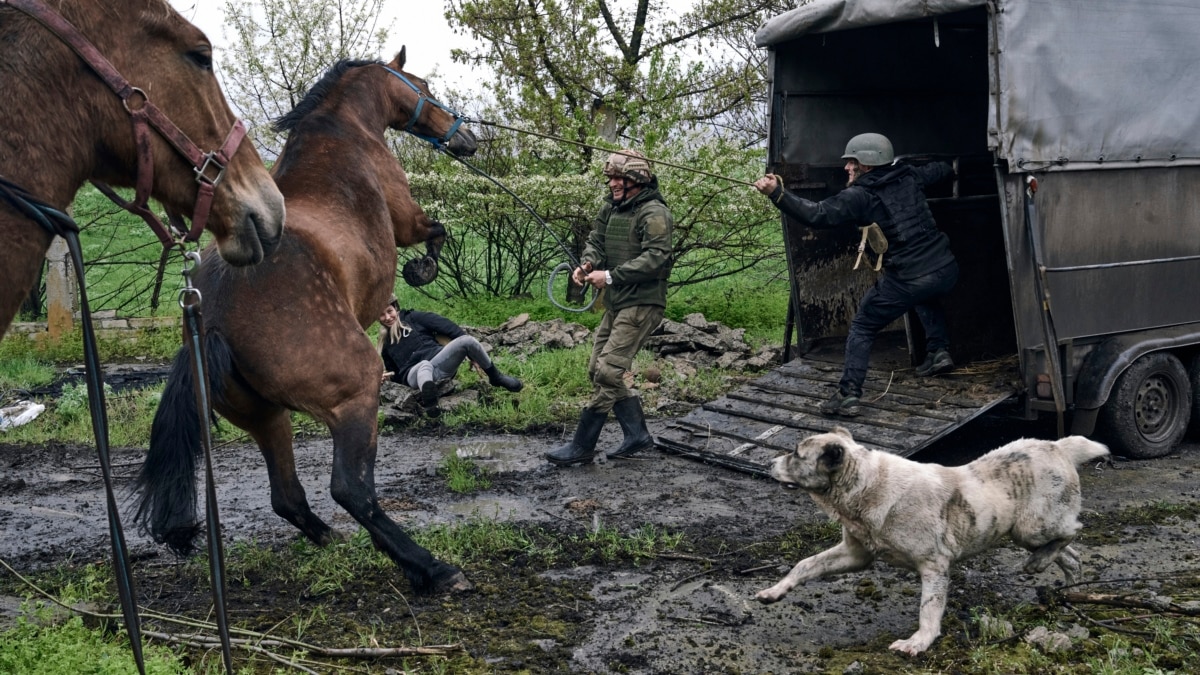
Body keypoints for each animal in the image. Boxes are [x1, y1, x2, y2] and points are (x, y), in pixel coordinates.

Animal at [133, 49, 480, 590]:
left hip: (266, 417)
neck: (343, 129)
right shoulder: (407, 218)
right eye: (421, 84)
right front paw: (421, 270)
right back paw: (430, 567)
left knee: (287, 496)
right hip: (356, 393)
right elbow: (435, 231)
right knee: (351, 490)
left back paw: (332, 539)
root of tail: (213, 323)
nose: (465, 138)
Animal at [753, 425, 1108, 653]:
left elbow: (929, 608)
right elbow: (805, 565)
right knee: (1072, 556)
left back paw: (1040, 564)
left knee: (1072, 531)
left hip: (1031, 527)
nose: (768, 463)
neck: (867, 485)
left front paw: (918, 643)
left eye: (796, 454)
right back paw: (1067, 589)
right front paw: (774, 592)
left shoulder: (934, 565)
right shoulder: (855, 555)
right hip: (1026, 533)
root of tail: (1058, 446)